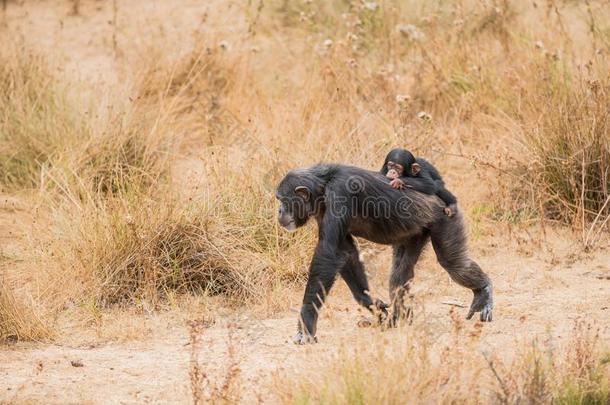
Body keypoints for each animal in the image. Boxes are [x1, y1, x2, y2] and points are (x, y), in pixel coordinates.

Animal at [274, 163, 490, 342]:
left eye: (282, 199)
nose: (279, 211)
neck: (323, 187)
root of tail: (443, 197)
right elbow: (346, 253)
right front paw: (373, 304)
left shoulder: (340, 194)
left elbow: (329, 253)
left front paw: (305, 325)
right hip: (414, 233)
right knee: (399, 274)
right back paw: (397, 318)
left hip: (446, 218)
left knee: (453, 263)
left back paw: (483, 291)